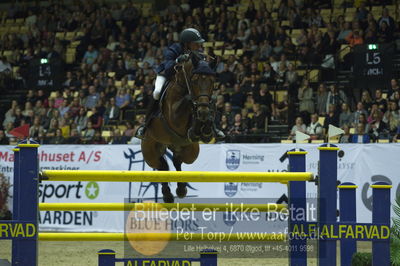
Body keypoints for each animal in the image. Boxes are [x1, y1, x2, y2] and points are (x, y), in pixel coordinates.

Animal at [140, 53, 216, 203]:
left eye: (212, 81)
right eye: (195, 80)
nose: (203, 112)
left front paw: (205, 128)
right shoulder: (174, 116)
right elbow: (187, 100)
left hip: (190, 151)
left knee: (177, 160)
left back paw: (180, 189)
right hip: (150, 152)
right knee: (161, 166)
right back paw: (167, 195)